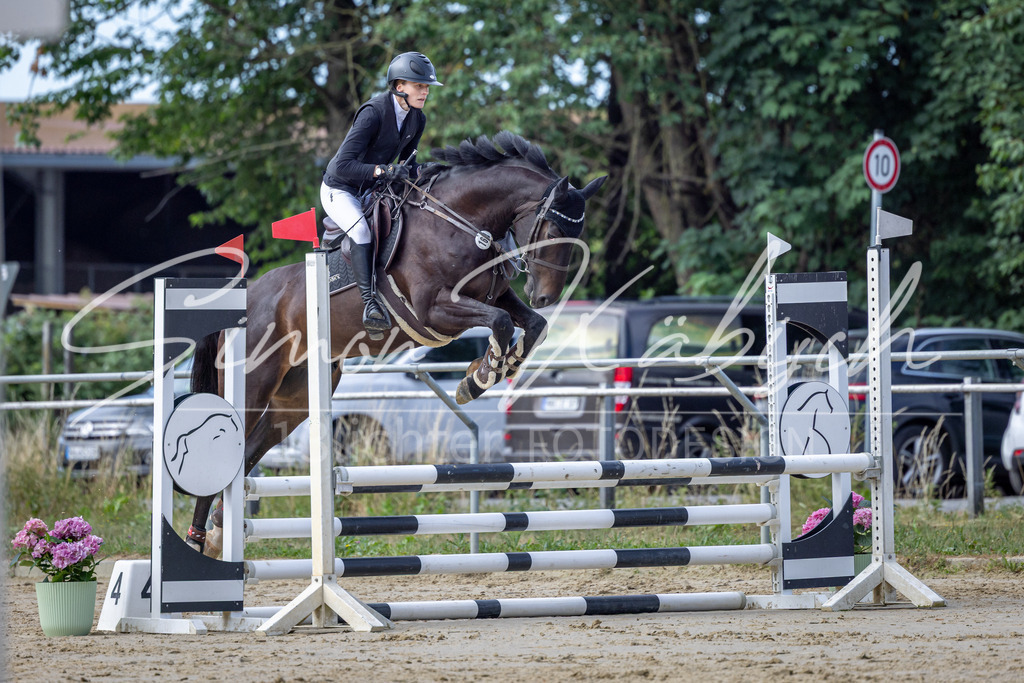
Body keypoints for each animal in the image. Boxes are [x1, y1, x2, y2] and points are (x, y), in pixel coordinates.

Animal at [185, 131, 606, 554]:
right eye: (551, 232)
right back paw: (198, 539)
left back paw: (219, 532)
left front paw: (499, 366)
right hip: (252, 387)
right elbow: (501, 323)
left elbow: (534, 325)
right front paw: (480, 376)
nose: (546, 296)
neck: (462, 223)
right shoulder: (434, 310)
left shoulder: (494, 296)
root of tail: (246, 299)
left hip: (293, 401)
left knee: (251, 448)